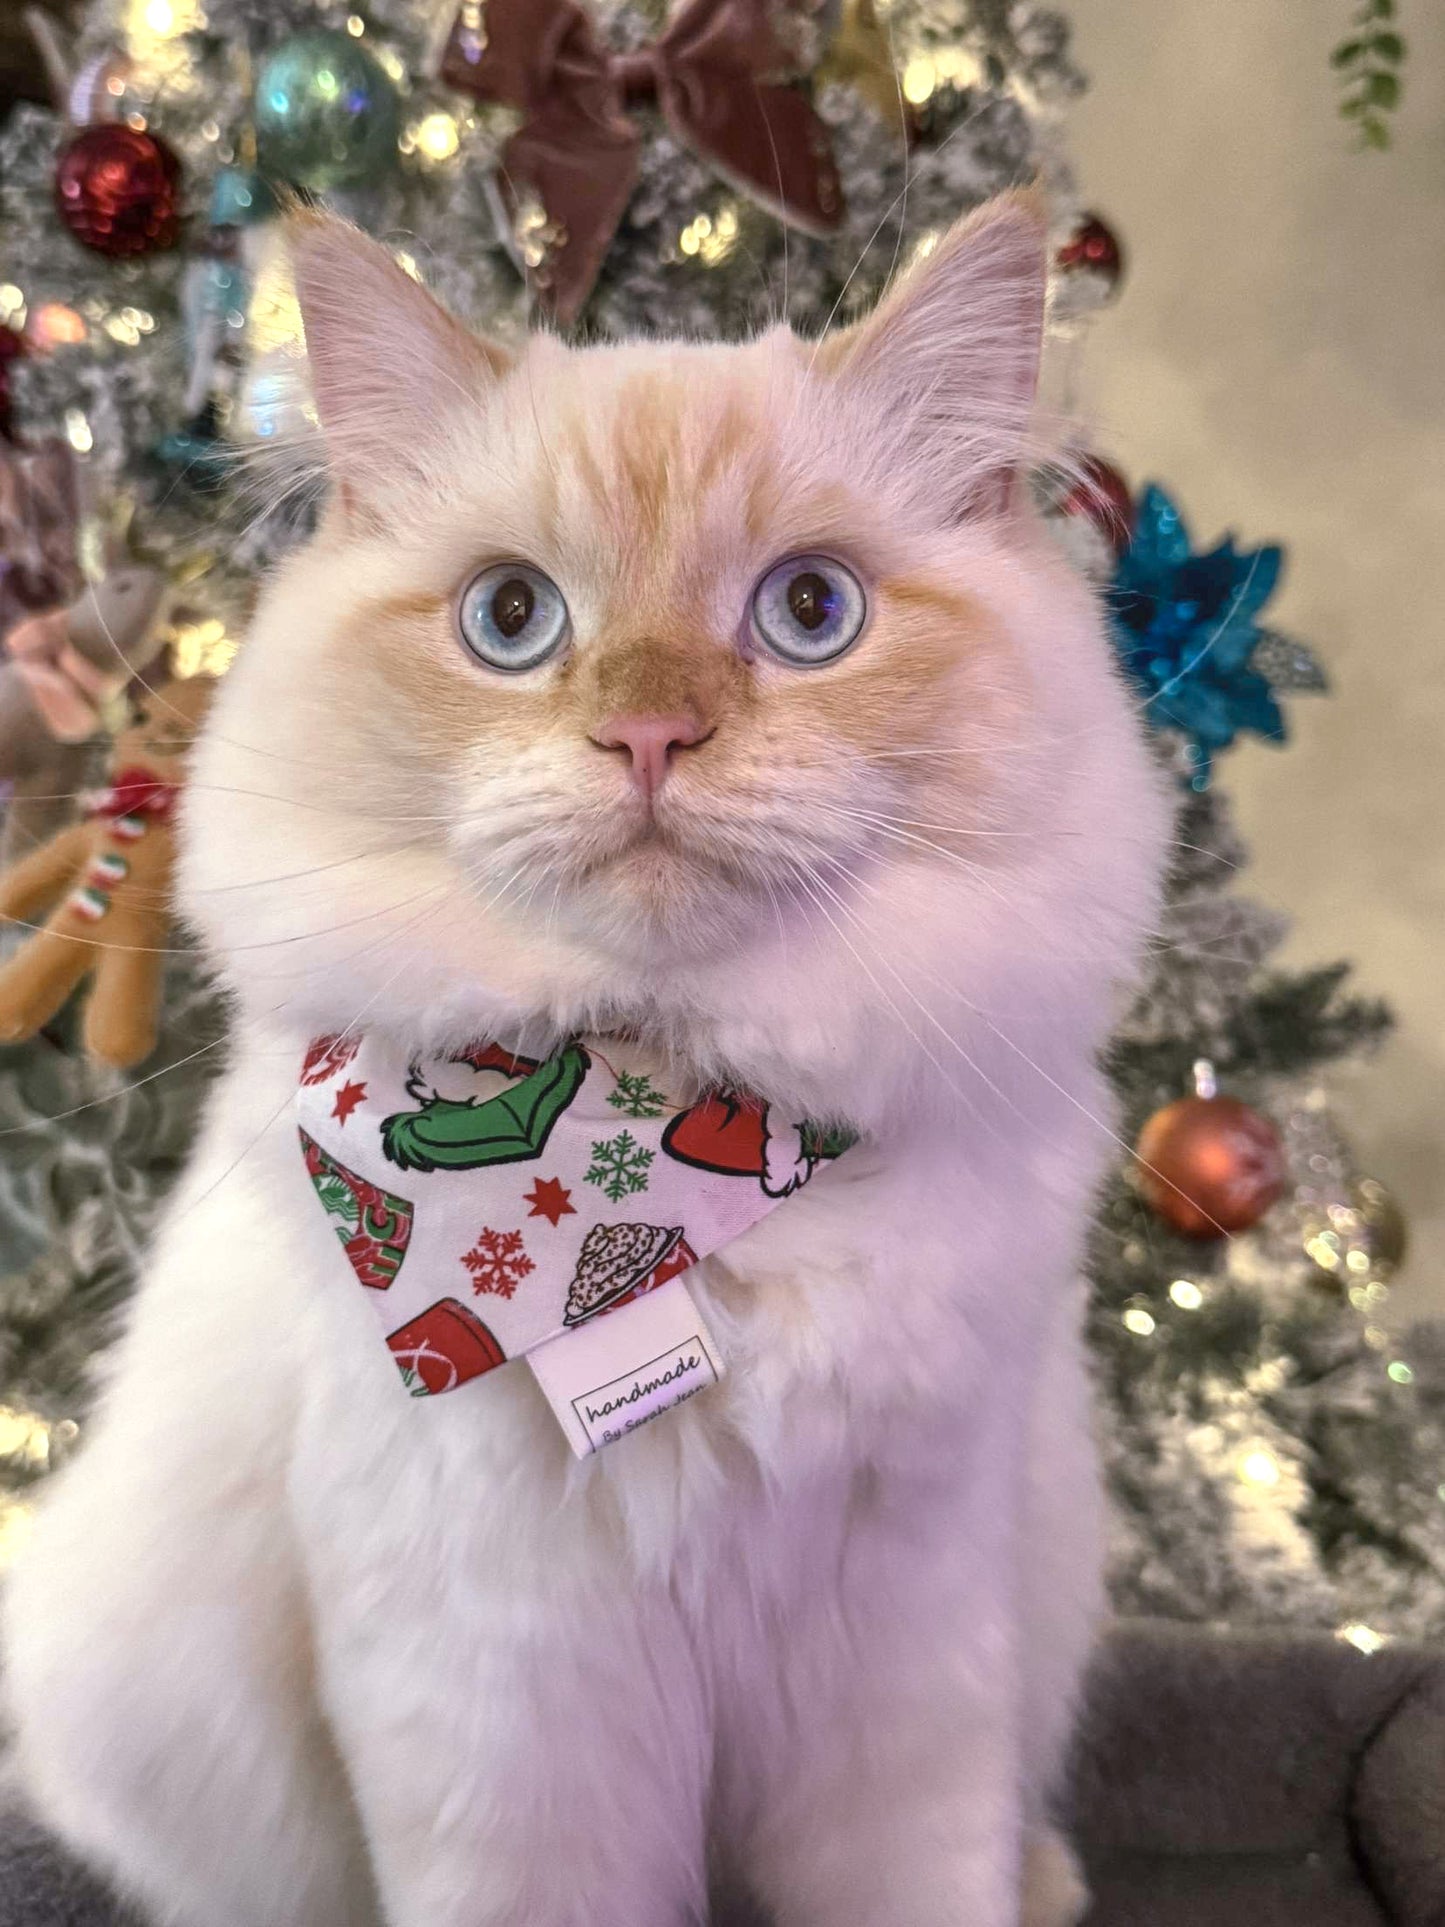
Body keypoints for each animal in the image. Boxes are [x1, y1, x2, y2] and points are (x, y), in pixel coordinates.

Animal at [0, 199, 1171, 1927]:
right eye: (511, 619)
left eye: (809, 614)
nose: (651, 738)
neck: (667, 1130)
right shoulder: (509, 1695)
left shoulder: (901, 1650)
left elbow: (917, 1874)